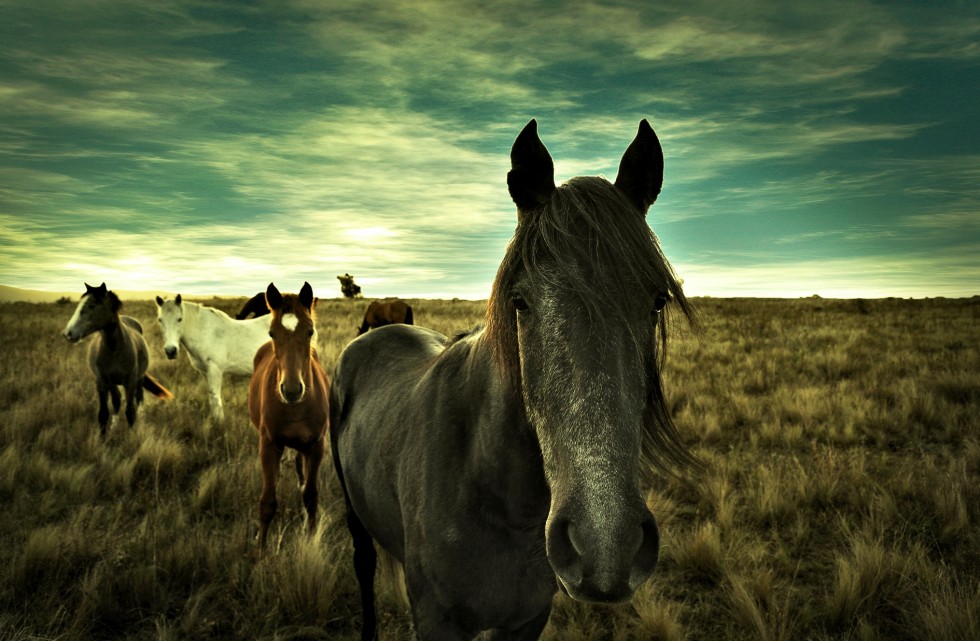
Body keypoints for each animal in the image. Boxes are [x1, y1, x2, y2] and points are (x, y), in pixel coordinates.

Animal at [62, 284, 173, 438]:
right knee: (117, 401)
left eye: (92, 305)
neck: (114, 349)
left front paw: (131, 436)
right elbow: (105, 411)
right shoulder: (102, 381)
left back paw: (142, 416)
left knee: (139, 396)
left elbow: (130, 411)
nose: (68, 333)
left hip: (139, 378)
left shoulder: (130, 382)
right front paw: (103, 438)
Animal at [247, 282, 332, 548]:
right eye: (272, 333)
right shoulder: (268, 445)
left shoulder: (316, 446)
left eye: (310, 331)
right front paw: (261, 549)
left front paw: (311, 535)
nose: (292, 390)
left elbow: (310, 496)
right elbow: (268, 502)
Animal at [334, 119, 700, 636]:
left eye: (657, 302)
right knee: (363, 566)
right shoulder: (435, 620)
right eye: (520, 302)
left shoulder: (529, 617)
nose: (608, 549)